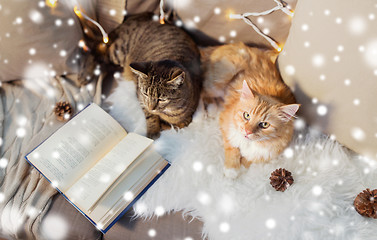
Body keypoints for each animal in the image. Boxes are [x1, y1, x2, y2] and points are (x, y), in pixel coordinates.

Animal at [201, 42, 298, 178]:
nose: (247, 131)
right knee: (202, 91)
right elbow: (232, 149)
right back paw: (209, 110)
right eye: (246, 115)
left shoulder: (267, 153)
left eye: (264, 124)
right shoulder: (227, 126)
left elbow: (250, 159)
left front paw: (241, 168)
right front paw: (232, 169)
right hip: (220, 79)